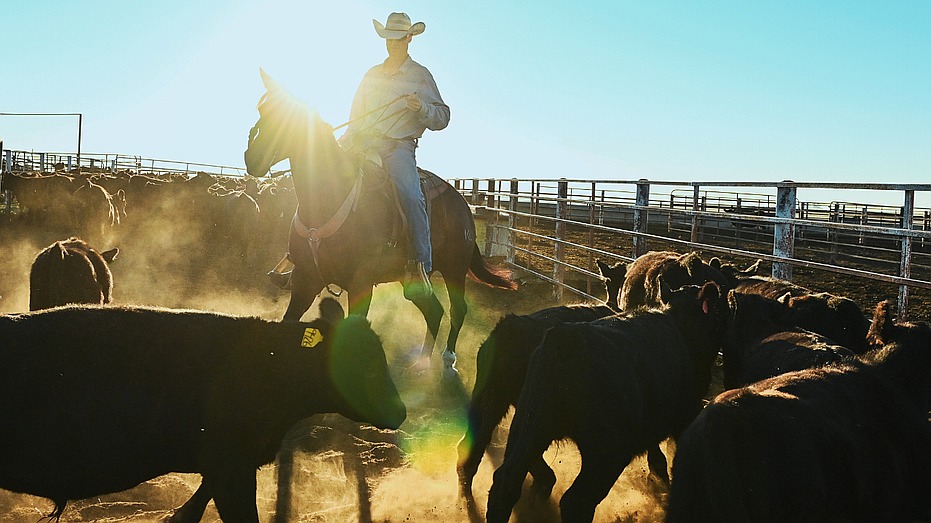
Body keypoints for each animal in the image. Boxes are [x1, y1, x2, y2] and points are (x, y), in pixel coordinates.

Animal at [486, 281, 729, 523]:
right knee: (576, 501)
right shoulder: (686, 414)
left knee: (505, 482)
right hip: (606, 454)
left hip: (529, 428)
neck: (681, 327)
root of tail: (565, 339)